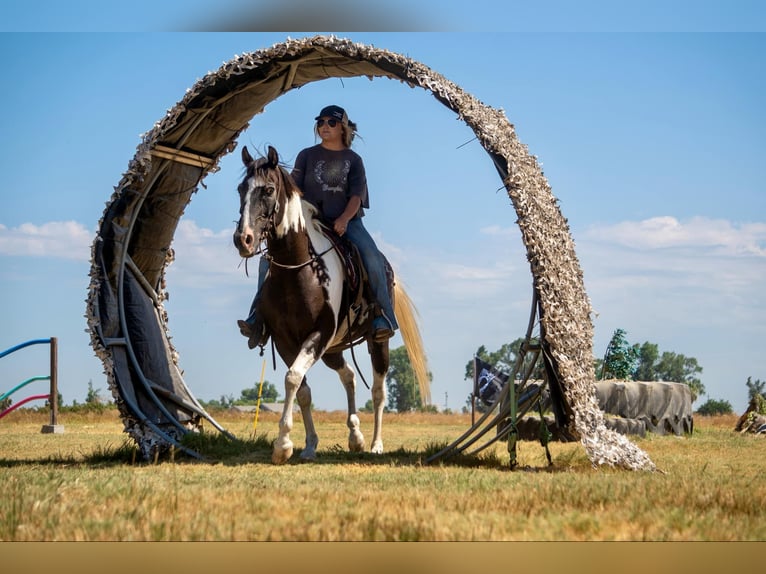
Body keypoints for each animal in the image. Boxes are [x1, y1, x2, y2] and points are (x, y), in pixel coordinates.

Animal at [232, 145, 430, 464]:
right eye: (241, 189)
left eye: (269, 190)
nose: (244, 240)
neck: (298, 270)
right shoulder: (286, 340)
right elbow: (301, 388)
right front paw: (307, 445)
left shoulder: (319, 334)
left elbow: (292, 378)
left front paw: (282, 444)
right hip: (333, 349)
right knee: (349, 376)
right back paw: (355, 436)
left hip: (376, 343)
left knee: (378, 392)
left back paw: (375, 443)